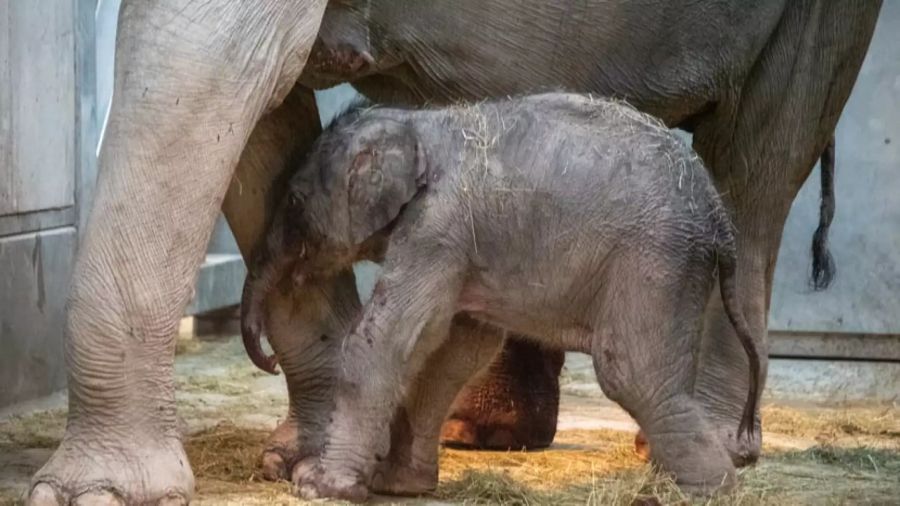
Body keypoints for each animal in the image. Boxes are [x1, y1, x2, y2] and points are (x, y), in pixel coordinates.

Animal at [239, 93, 760, 500]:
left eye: (293, 200)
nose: (268, 361)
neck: (416, 123)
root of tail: (720, 216)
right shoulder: (463, 248)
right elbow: (457, 352)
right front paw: (398, 484)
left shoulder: (436, 228)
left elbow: (386, 340)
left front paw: (317, 486)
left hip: (655, 261)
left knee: (632, 373)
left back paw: (699, 493)